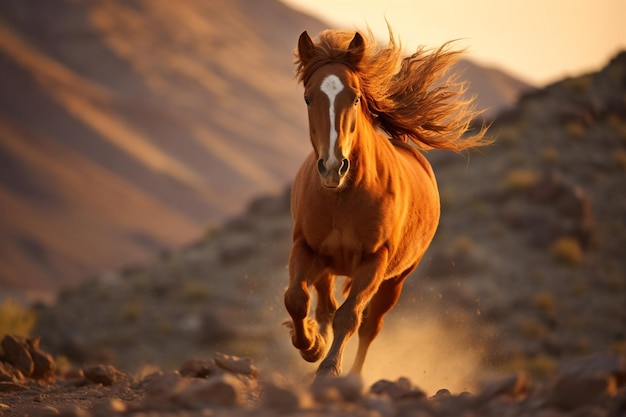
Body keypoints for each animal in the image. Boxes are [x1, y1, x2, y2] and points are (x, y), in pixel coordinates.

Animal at [282, 26, 488, 376]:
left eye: (355, 97)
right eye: (308, 98)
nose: (333, 167)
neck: (344, 197)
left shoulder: (374, 261)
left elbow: (349, 317)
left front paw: (329, 368)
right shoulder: (305, 247)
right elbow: (296, 299)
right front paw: (311, 346)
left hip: (395, 280)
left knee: (369, 326)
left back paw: (353, 375)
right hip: (327, 265)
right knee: (324, 305)